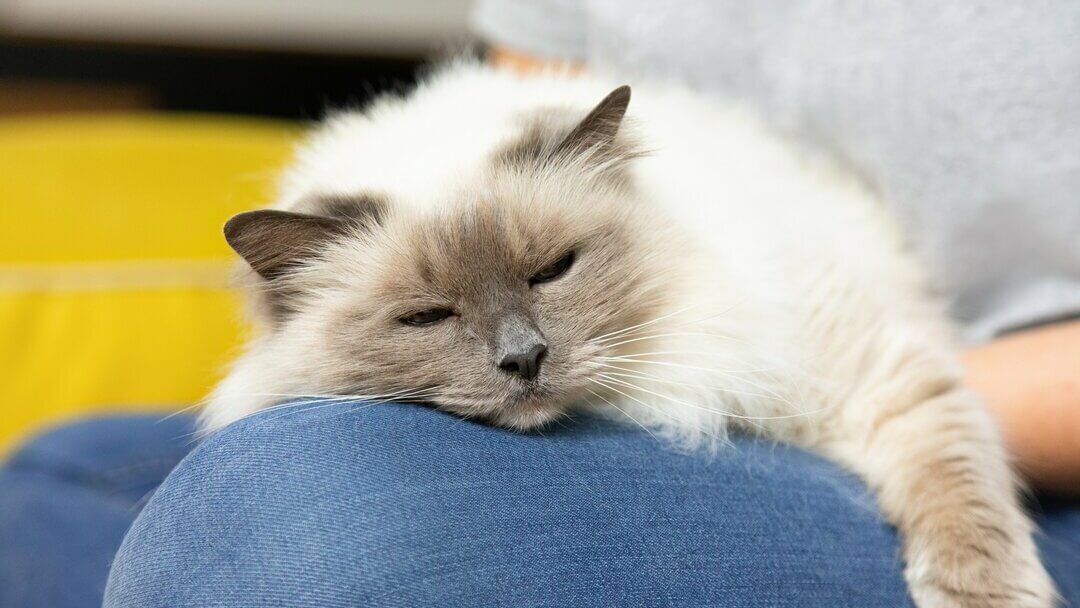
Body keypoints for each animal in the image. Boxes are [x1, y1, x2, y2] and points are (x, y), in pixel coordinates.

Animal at [200, 61, 1054, 608]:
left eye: (552, 271)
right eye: (427, 317)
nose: (523, 359)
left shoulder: (871, 374)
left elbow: (957, 484)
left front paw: (984, 595)